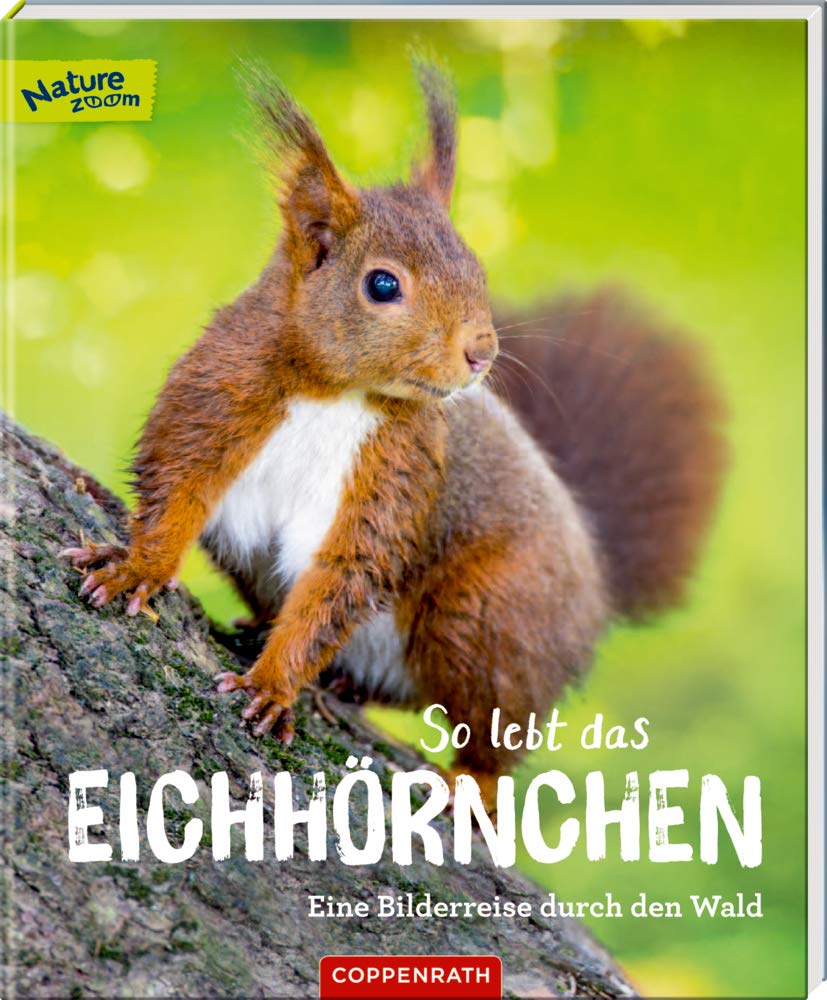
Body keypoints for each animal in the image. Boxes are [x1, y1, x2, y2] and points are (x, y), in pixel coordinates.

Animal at [62, 62, 725, 795]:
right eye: (382, 285)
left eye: (477, 270)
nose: (482, 351)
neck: (334, 393)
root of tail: (596, 583)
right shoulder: (216, 397)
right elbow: (176, 490)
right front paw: (135, 569)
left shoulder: (397, 471)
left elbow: (342, 577)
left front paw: (272, 685)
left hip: (486, 614)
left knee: (494, 726)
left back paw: (471, 783)